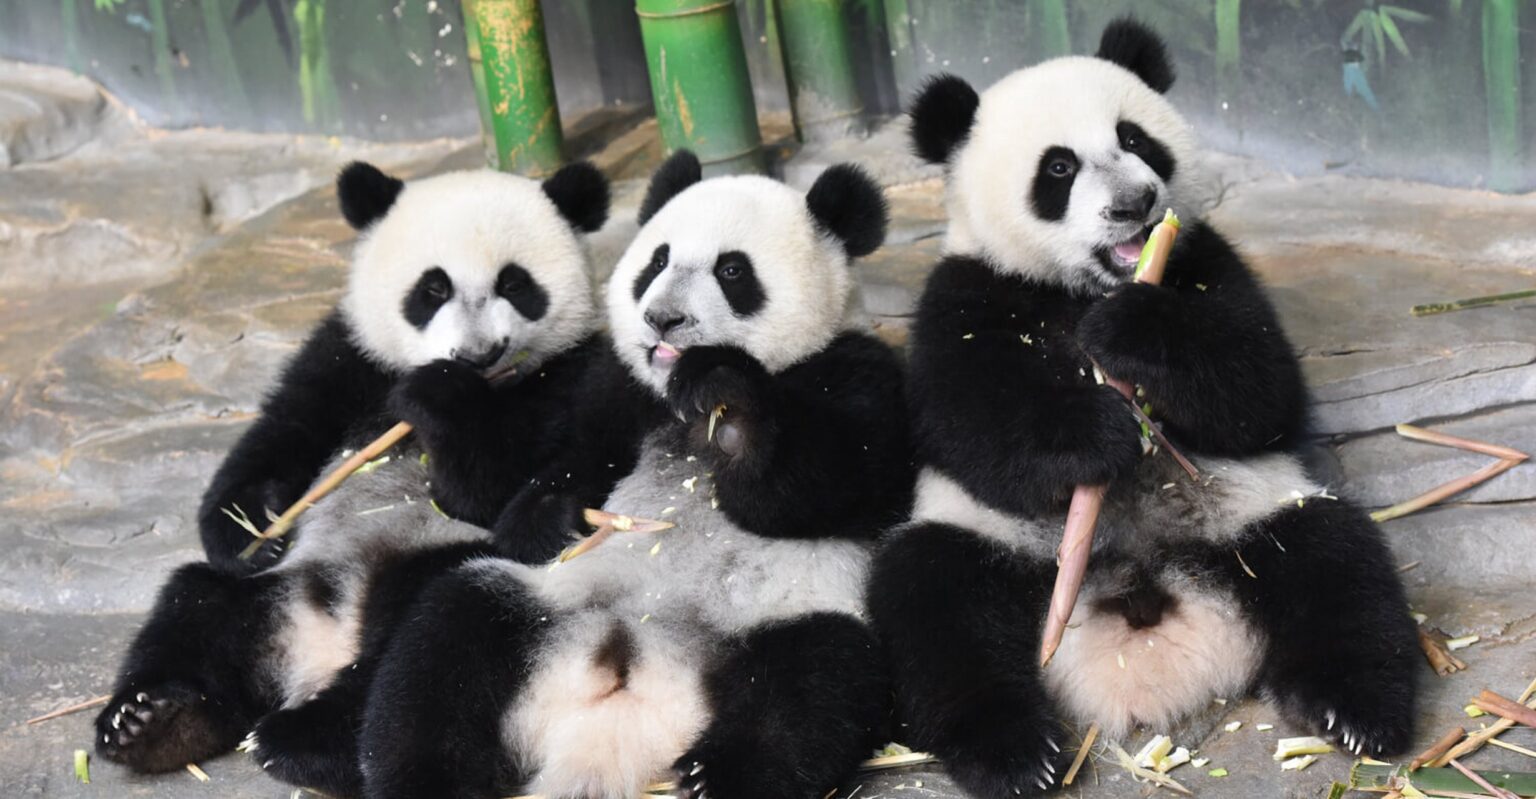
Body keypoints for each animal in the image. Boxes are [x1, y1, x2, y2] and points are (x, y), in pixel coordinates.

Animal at [93, 160, 613, 797]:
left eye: (516, 285)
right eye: (432, 289)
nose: (477, 353)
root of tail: (323, 644)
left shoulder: (565, 376)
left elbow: (496, 486)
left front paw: (439, 398)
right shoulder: (348, 357)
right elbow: (283, 433)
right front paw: (250, 528)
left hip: (426, 571)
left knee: (414, 648)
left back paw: (304, 740)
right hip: (269, 595)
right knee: (195, 607)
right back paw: (152, 721)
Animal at [353, 150, 915, 799]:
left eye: (732, 271)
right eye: (656, 261)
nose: (662, 319)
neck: (672, 401)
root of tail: (625, 698)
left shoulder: (859, 374)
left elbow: (818, 488)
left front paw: (728, 403)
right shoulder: (614, 389)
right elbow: (514, 488)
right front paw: (543, 508)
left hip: (785, 617)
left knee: (811, 688)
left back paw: (714, 773)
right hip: (542, 607)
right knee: (443, 647)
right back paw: (428, 777)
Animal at [866, 19, 1418, 798]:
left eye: (1135, 138)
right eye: (1058, 168)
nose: (1135, 201)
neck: (1079, 290)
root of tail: (1145, 595)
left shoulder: (1205, 256)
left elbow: (1261, 387)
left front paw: (1131, 332)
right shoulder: (965, 294)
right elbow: (964, 420)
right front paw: (1099, 431)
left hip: (1252, 513)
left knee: (1337, 562)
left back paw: (1356, 709)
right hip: (995, 547)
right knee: (934, 603)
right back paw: (1014, 753)